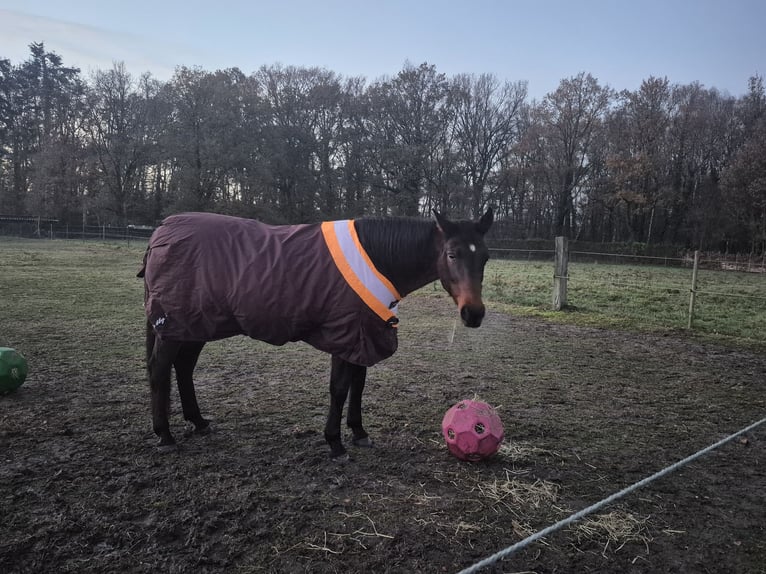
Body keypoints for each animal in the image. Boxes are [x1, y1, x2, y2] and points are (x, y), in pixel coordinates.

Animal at [138, 208, 493, 458]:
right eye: (452, 254)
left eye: (486, 257)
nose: (473, 314)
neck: (375, 259)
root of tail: (160, 232)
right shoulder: (344, 334)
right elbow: (339, 388)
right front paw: (335, 442)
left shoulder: (363, 334)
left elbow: (358, 384)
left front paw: (359, 432)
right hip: (173, 327)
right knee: (160, 369)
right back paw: (165, 435)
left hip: (194, 325)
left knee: (183, 368)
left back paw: (198, 422)